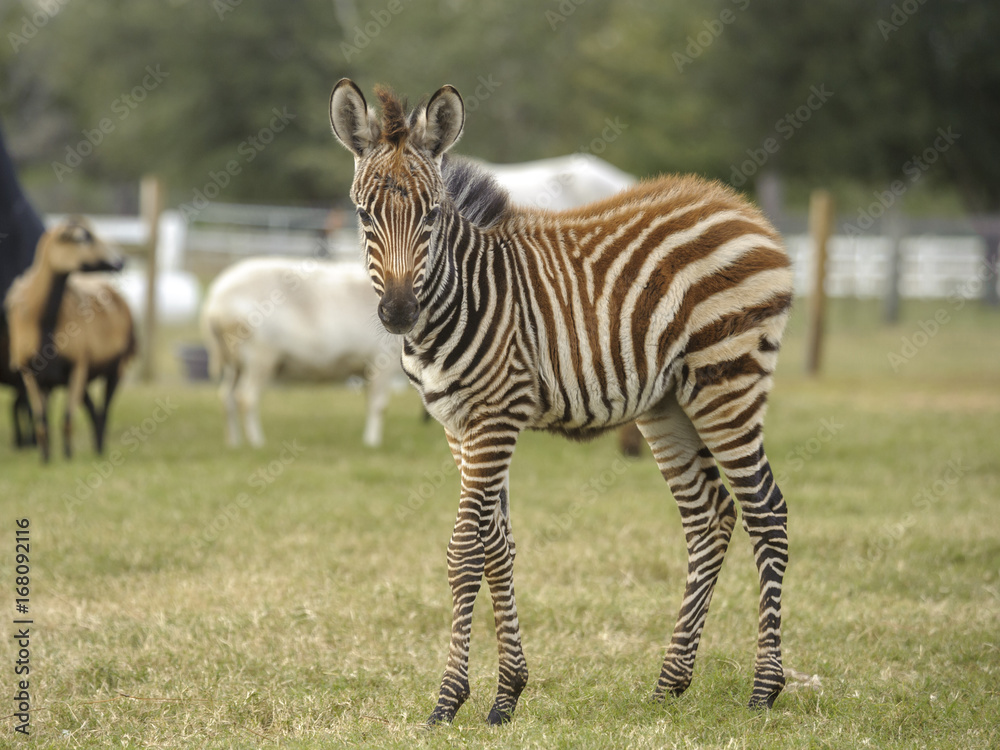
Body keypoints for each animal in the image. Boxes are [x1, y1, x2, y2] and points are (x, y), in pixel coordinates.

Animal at [4, 217, 136, 462]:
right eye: (83, 238)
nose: (121, 262)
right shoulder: (30, 374)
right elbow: (41, 422)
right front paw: (45, 460)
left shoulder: (77, 367)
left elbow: (66, 419)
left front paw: (67, 458)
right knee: (94, 411)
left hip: (116, 367)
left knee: (104, 411)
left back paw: (99, 450)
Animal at [200, 256, 402, 448]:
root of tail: (215, 303)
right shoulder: (382, 361)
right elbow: (379, 406)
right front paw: (372, 443)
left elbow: (370, 403)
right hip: (259, 357)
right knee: (246, 398)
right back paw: (256, 443)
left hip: (234, 362)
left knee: (227, 397)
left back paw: (234, 443)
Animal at [329, 79, 793, 725]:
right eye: (365, 214)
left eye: (433, 214)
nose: (398, 313)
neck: (465, 294)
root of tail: (739, 207)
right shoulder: (458, 426)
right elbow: (498, 547)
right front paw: (507, 695)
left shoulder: (495, 418)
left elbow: (464, 551)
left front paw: (449, 701)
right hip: (670, 404)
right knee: (710, 517)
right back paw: (669, 684)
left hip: (728, 384)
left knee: (766, 512)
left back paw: (764, 689)